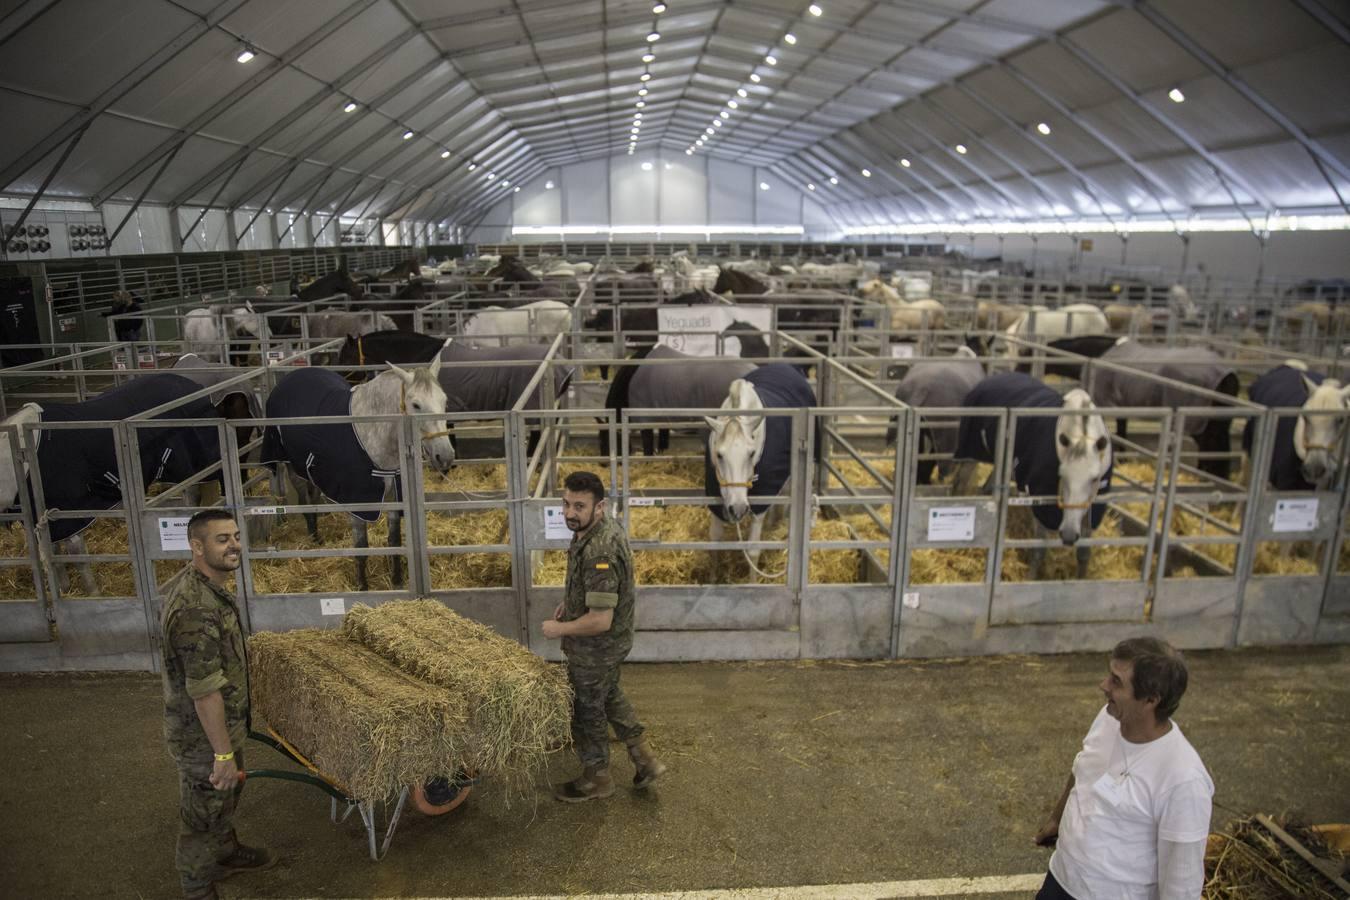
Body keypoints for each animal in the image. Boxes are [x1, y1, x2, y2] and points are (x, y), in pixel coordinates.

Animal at [257, 361, 453, 593]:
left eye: (444, 401)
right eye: (416, 405)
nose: (445, 456)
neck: (370, 432)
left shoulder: (394, 497)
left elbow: (394, 540)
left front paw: (397, 580)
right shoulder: (358, 502)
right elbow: (361, 546)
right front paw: (362, 586)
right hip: (292, 467)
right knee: (305, 501)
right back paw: (314, 538)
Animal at [955, 372, 1112, 577]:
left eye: (1094, 479)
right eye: (1062, 475)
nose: (1068, 535)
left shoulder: (1093, 507)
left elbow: (1084, 552)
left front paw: (1081, 579)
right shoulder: (1039, 502)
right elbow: (1039, 549)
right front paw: (1030, 577)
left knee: (987, 487)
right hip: (971, 452)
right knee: (959, 483)